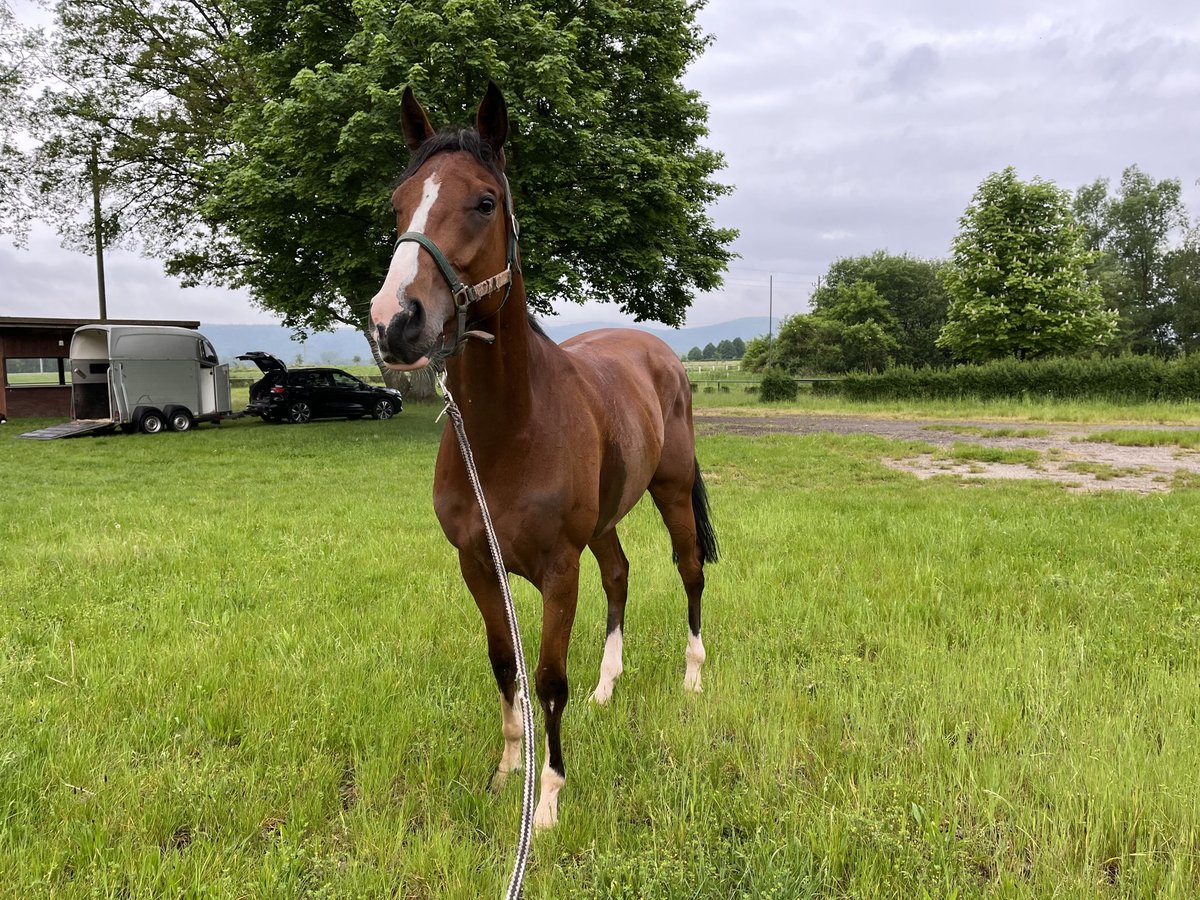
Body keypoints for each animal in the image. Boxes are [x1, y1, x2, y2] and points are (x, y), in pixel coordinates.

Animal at [369, 84, 715, 830]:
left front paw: (549, 795)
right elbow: (506, 665)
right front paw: (506, 774)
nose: (396, 322)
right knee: (619, 573)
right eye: (398, 202)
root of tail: (660, 354)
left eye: (484, 201)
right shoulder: (478, 565)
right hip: (607, 521)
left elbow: (549, 678)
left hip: (671, 491)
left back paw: (693, 675)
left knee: (690, 571)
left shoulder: (559, 570)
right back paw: (608, 688)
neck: (509, 433)